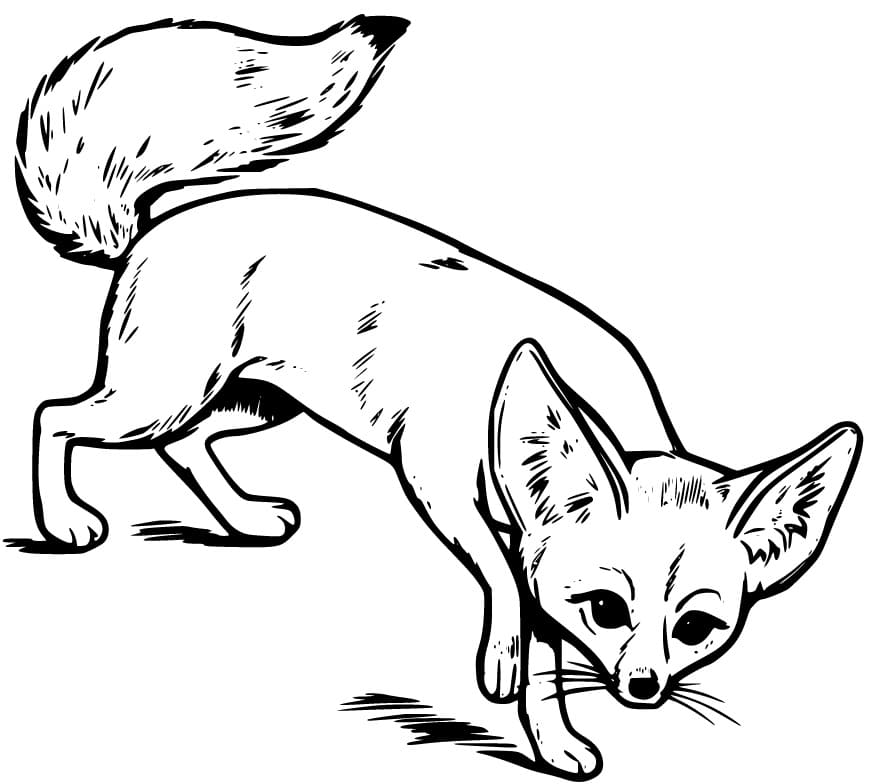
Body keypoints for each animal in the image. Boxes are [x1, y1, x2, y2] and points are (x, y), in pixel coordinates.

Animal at [16, 14, 862, 780]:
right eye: (609, 610)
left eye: (695, 627)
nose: (643, 687)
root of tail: (157, 222)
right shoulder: (436, 481)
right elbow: (504, 588)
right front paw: (502, 660)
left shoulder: (533, 550)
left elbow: (546, 671)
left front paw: (554, 747)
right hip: (161, 395)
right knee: (54, 417)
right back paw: (64, 521)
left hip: (253, 403)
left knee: (182, 447)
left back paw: (245, 518)